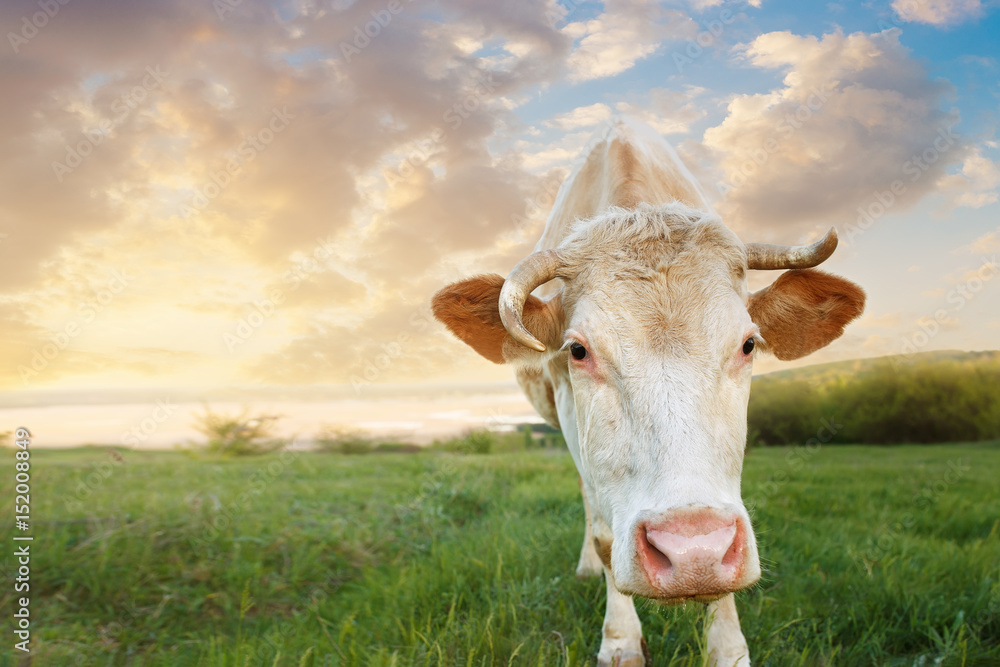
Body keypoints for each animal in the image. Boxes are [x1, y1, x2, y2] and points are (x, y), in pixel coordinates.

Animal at [432, 117, 868, 664]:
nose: (692, 551)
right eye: (577, 350)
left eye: (748, 344)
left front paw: (728, 648)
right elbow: (602, 535)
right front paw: (619, 640)